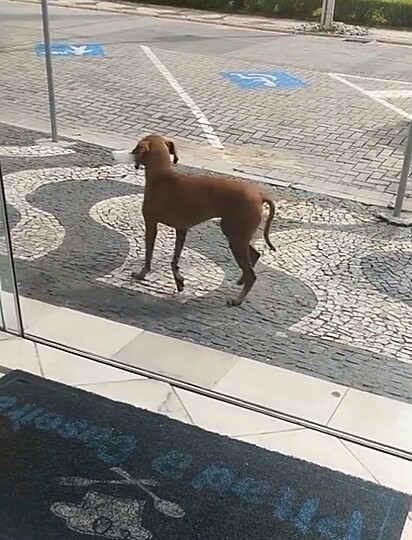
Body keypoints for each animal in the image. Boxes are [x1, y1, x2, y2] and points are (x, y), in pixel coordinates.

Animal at [130, 134, 276, 306]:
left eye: (138, 145)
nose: (132, 152)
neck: (162, 175)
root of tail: (259, 196)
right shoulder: (181, 230)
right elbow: (174, 260)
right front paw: (179, 280)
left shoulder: (151, 225)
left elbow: (148, 255)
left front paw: (142, 274)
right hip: (237, 235)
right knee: (254, 256)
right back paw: (241, 280)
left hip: (235, 237)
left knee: (252, 274)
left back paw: (238, 299)